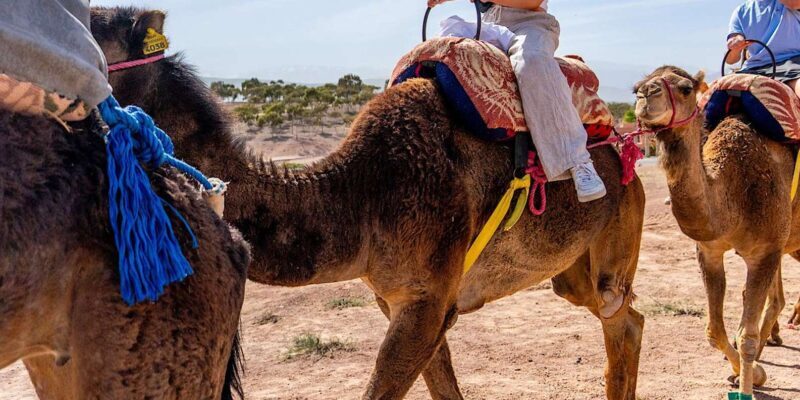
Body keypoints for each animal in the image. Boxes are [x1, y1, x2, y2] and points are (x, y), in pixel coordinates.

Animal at [93, 7, 646, 399]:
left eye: (89, 28)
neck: (360, 191)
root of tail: (622, 140)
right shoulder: (402, 298)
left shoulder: (427, 298)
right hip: (569, 270)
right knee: (621, 316)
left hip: (620, 215)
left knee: (619, 311)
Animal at [634, 65, 800, 398]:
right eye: (639, 84)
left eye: (686, 88)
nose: (645, 94)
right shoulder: (709, 250)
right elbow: (715, 330)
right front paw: (752, 373)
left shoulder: (765, 251)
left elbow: (746, 336)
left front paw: (748, 384)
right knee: (776, 299)